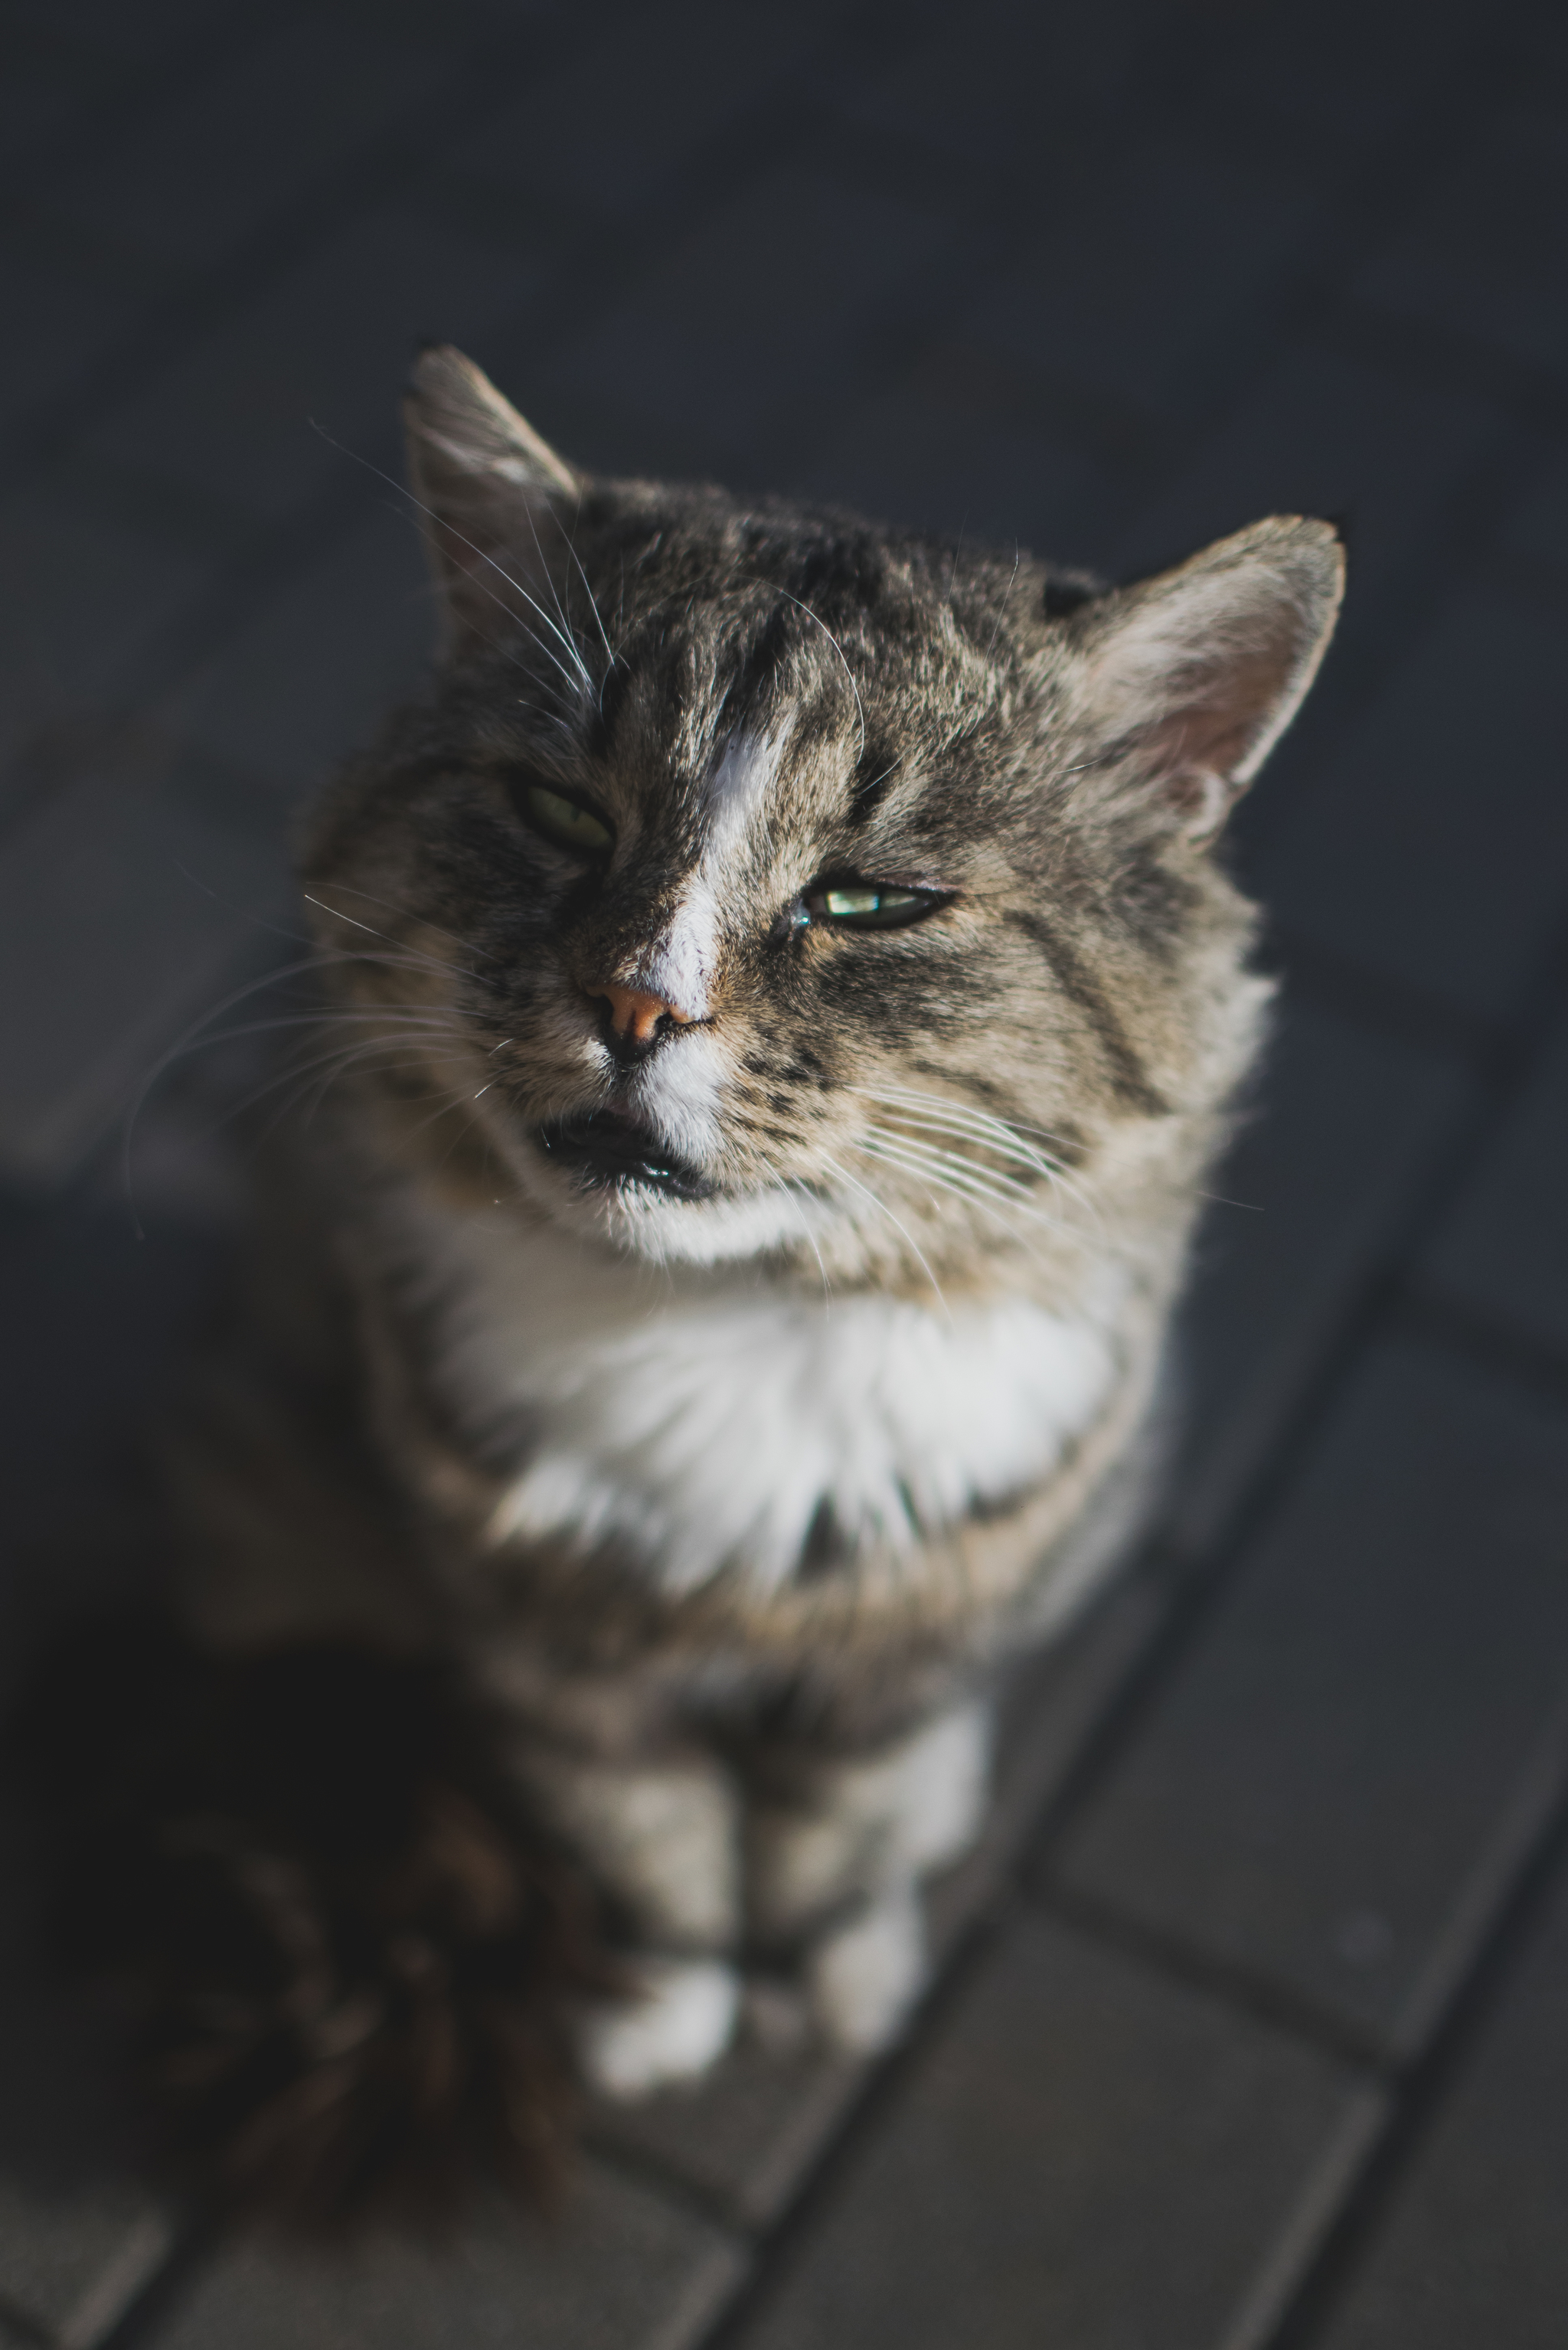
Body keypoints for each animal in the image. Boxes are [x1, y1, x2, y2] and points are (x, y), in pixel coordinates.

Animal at [24, 343, 1344, 2218]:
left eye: (872, 901)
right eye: (560, 810)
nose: (638, 1003)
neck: (735, 1320)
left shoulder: (910, 1631)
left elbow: (835, 1826)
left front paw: (827, 1965)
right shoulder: (543, 1642)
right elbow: (640, 1839)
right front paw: (663, 1998)